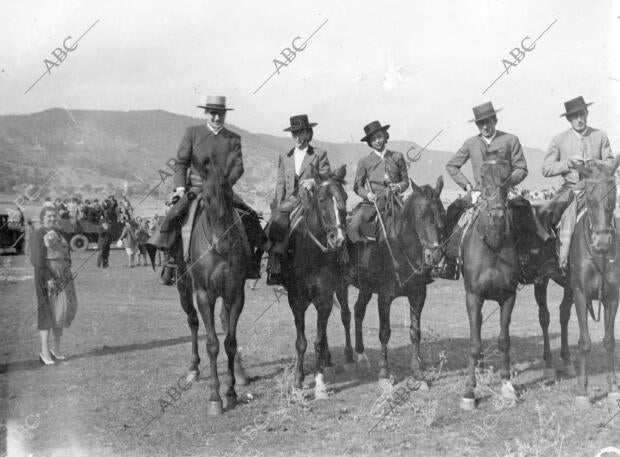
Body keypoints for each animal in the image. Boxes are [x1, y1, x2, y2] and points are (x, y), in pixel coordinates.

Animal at [173, 159, 251, 416]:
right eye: (206, 199)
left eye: (230, 195)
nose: (224, 243)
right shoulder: (204, 295)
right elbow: (212, 344)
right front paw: (216, 398)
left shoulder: (236, 294)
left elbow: (230, 342)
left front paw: (231, 392)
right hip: (183, 287)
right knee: (193, 322)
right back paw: (193, 369)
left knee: (225, 322)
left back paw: (240, 373)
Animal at [280, 165, 348, 400]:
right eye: (321, 199)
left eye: (344, 197)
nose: (338, 239)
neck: (311, 254)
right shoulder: (296, 300)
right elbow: (301, 342)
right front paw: (298, 380)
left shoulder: (324, 298)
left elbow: (317, 341)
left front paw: (320, 384)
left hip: (341, 289)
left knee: (344, 317)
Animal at [334, 176, 446, 380]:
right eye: (421, 216)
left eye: (442, 214)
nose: (434, 255)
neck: (401, 248)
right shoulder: (385, 297)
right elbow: (384, 332)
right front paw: (384, 369)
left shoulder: (418, 295)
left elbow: (415, 331)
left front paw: (417, 367)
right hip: (342, 284)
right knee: (346, 315)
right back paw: (349, 358)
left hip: (366, 287)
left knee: (358, 311)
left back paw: (361, 354)